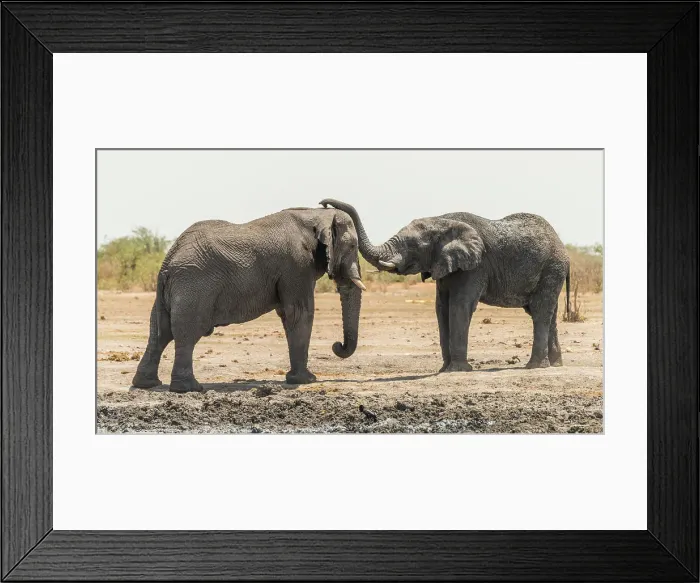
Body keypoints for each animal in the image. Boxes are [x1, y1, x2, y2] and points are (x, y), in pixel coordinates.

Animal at [132, 207, 365, 392]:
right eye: (353, 247)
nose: (337, 346)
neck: (316, 214)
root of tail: (167, 262)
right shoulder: (297, 265)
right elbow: (299, 312)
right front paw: (306, 380)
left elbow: (289, 313)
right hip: (194, 286)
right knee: (187, 333)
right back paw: (189, 388)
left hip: (171, 291)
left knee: (160, 332)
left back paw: (147, 384)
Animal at [320, 199, 570, 373]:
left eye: (413, 245)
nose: (324, 203)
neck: (442, 221)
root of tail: (562, 245)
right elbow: (441, 308)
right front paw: (445, 369)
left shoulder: (475, 266)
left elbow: (459, 305)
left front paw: (458, 370)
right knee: (546, 313)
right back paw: (555, 364)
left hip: (552, 267)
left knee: (540, 311)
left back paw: (535, 366)